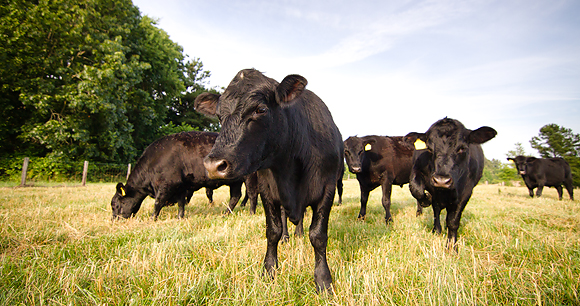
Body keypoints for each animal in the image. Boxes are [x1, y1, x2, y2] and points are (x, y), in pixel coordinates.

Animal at [110, 131, 246, 220]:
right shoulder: (180, 185)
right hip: (236, 182)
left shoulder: (167, 185)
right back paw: (226, 214)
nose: (113, 220)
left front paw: (152, 218)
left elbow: (158, 202)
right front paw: (180, 217)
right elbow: (181, 203)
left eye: (115, 205)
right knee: (235, 196)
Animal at [194, 68, 344, 292]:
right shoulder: (267, 189)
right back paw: (288, 237)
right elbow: (273, 230)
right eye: (219, 116)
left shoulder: (328, 188)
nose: (213, 165)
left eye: (261, 109)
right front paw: (269, 271)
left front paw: (323, 280)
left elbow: (318, 235)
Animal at [406, 118, 496, 250]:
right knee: (436, 210)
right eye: (429, 148)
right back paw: (437, 229)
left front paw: (451, 247)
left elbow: (453, 221)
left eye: (462, 148)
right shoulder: (417, 170)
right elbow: (416, 189)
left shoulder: (466, 191)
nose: (441, 180)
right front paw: (426, 200)